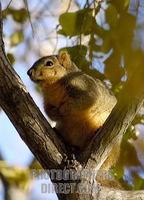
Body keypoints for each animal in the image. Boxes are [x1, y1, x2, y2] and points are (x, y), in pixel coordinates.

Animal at [27, 51, 121, 188]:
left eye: (49, 63)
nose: (29, 72)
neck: (52, 86)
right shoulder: (47, 101)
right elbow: (49, 111)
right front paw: (55, 113)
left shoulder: (83, 86)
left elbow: (85, 100)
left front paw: (62, 110)